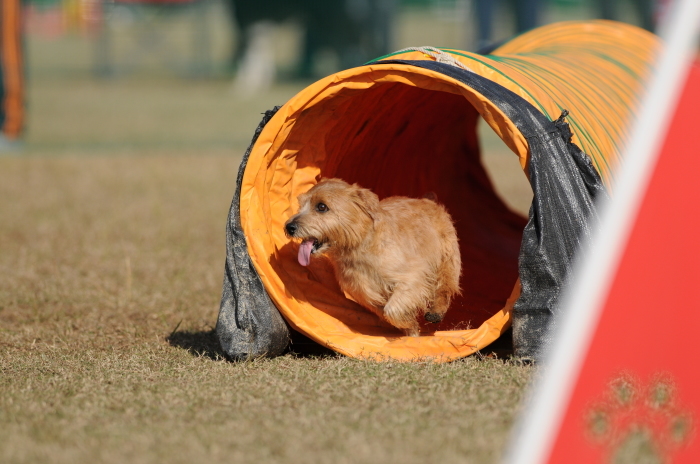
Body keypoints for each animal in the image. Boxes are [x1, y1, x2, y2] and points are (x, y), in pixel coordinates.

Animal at [284, 179, 460, 338]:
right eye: (300, 205)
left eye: (321, 206)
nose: (289, 227)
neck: (358, 247)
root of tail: (427, 200)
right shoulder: (368, 297)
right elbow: (388, 314)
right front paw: (411, 328)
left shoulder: (413, 277)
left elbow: (392, 310)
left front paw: (410, 325)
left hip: (447, 260)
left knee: (445, 288)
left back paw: (436, 312)